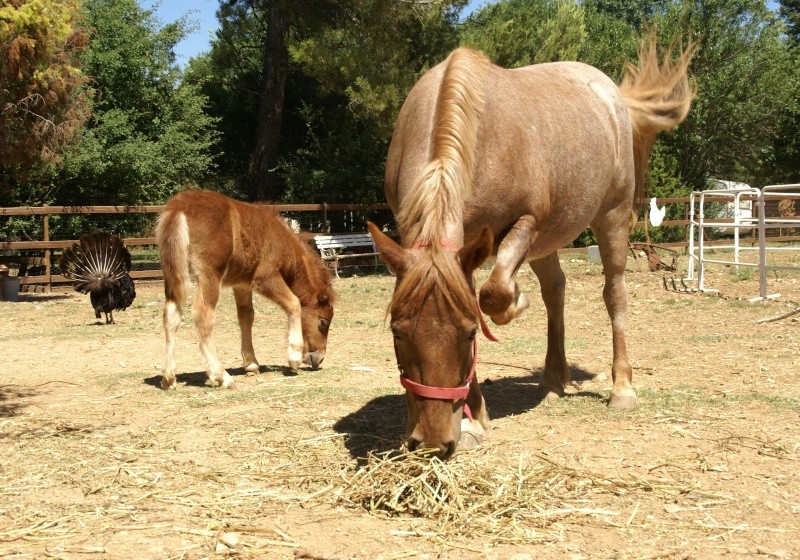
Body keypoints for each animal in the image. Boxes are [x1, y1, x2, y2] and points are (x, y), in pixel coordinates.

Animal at [156, 189, 334, 390]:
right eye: (323, 322)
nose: (318, 359)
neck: (282, 240)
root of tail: (179, 207)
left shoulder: (241, 284)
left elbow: (246, 317)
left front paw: (251, 364)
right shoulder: (265, 278)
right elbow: (294, 303)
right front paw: (294, 358)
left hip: (173, 275)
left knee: (171, 315)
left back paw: (168, 378)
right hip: (209, 275)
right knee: (203, 315)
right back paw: (221, 376)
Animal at [368, 36, 692, 460]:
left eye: (470, 335)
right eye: (397, 333)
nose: (433, 442)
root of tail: (613, 95)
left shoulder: (523, 225)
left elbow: (493, 295)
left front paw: (515, 304)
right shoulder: (462, 252)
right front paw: (475, 418)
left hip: (612, 218)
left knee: (614, 294)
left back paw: (622, 388)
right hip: (548, 243)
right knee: (555, 291)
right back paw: (554, 379)